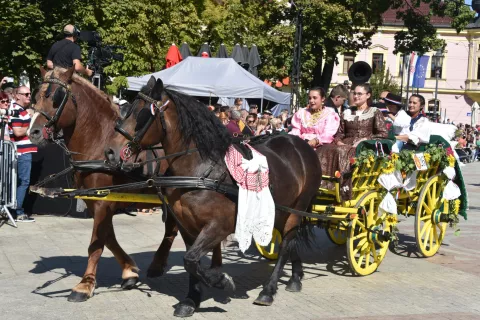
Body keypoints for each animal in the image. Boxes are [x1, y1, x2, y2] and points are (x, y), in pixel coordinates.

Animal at [30, 67, 221, 302]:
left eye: (56, 98)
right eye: (36, 96)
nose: (33, 132)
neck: (99, 141)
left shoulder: (103, 202)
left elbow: (96, 244)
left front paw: (84, 285)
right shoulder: (95, 200)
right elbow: (108, 238)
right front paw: (129, 272)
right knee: (173, 227)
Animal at [107, 77, 320, 318]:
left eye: (142, 114)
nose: (111, 152)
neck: (201, 170)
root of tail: (301, 145)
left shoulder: (219, 225)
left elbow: (190, 259)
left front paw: (221, 281)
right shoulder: (186, 224)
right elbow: (190, 260)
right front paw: (191, 299)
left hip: (298, 206)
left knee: (285, 244)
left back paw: (268, 290)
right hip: (280, 210)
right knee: (290, 240)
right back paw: (295, 277)